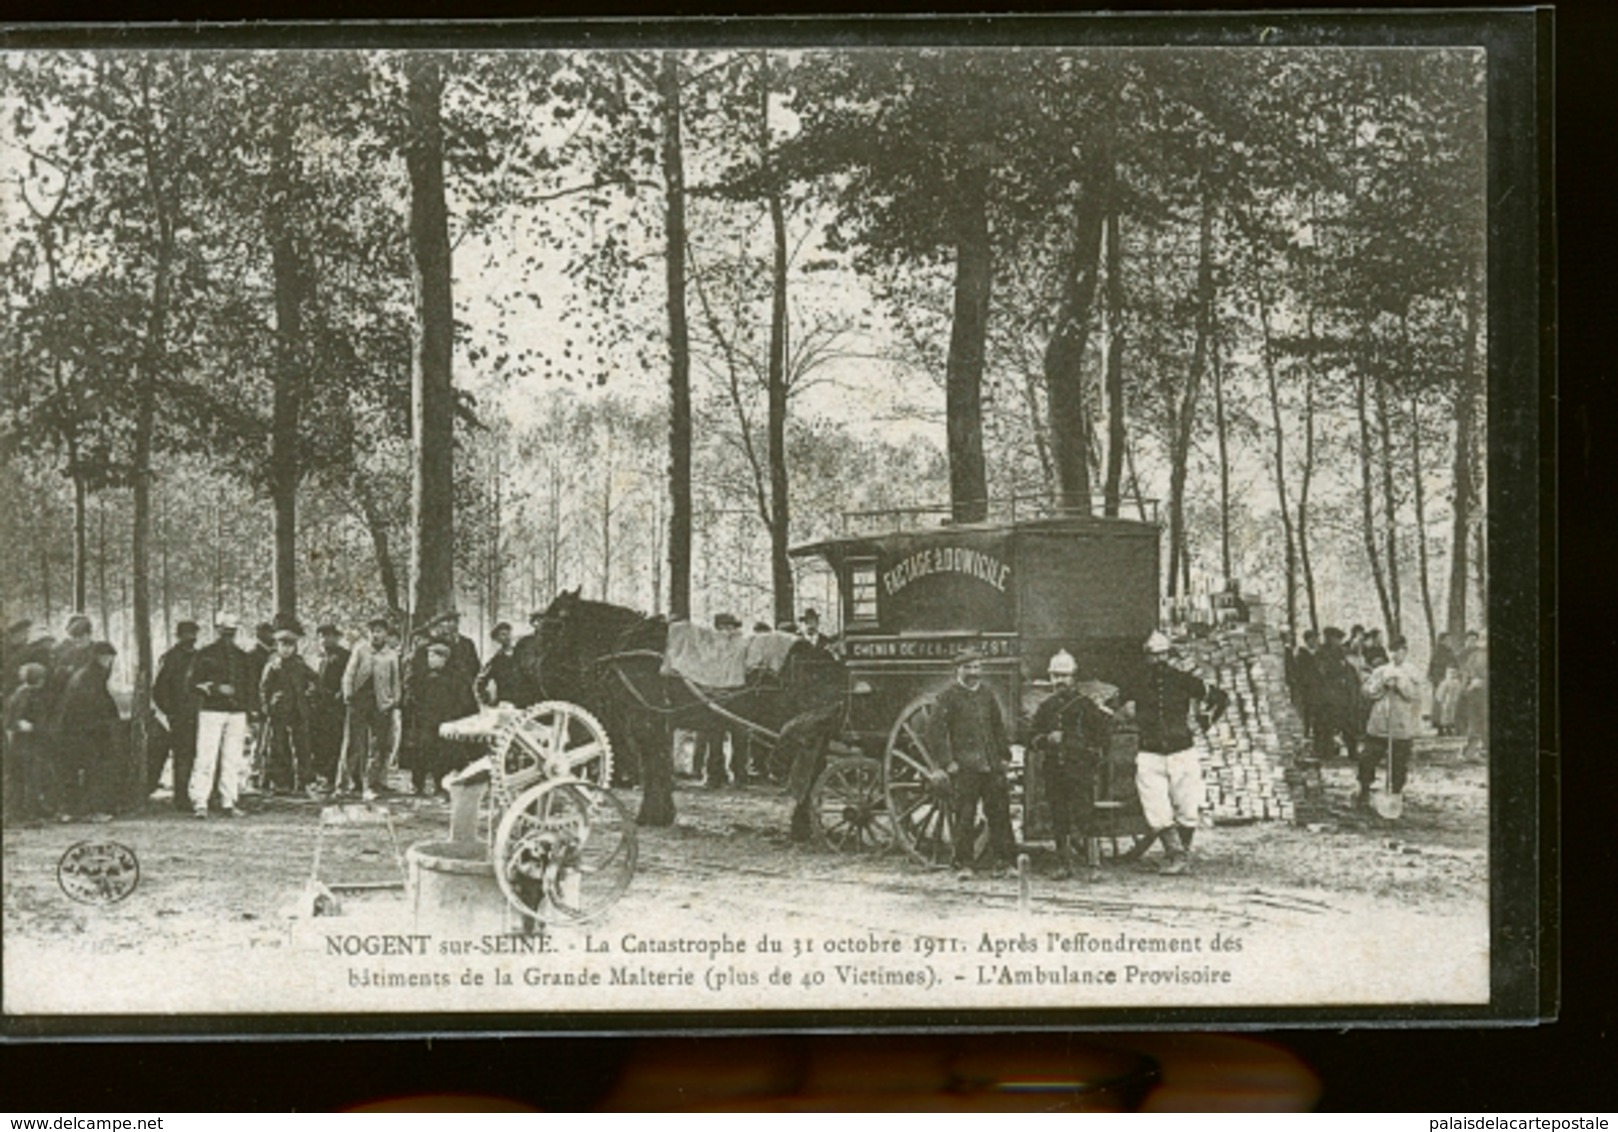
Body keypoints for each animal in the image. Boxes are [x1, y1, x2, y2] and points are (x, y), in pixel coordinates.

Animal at [533, 588, 860, 827]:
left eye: (553, 625)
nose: (540, 670)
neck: (629, 646)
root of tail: (823, 655)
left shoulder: (645, 720)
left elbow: (652, 764)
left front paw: (651, 814)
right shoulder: (659, 721)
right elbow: (660, 763)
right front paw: (663, 812)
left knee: (811, 770)